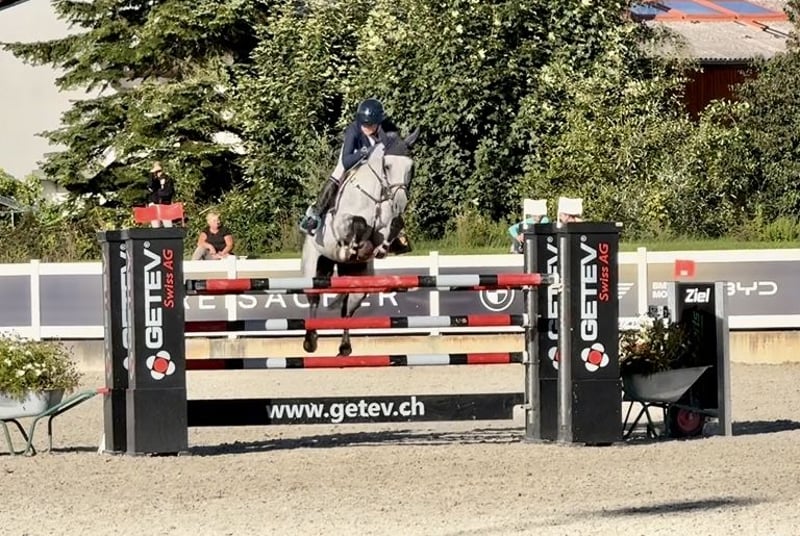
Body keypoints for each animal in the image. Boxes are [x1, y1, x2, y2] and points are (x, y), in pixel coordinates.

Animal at [300, 128, 419, 356]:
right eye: (387, 166)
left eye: (411, 167)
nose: (400, 203)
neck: (375, 195)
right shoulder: (340, 224)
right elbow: (358, 222)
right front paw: (352, 247)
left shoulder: (384, 228)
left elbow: (393, 226)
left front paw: (382, 248)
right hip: (313, 271)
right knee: (314, 300)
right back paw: (310, 341)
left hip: (358, 283)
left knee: (347, 310)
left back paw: (345, 348)